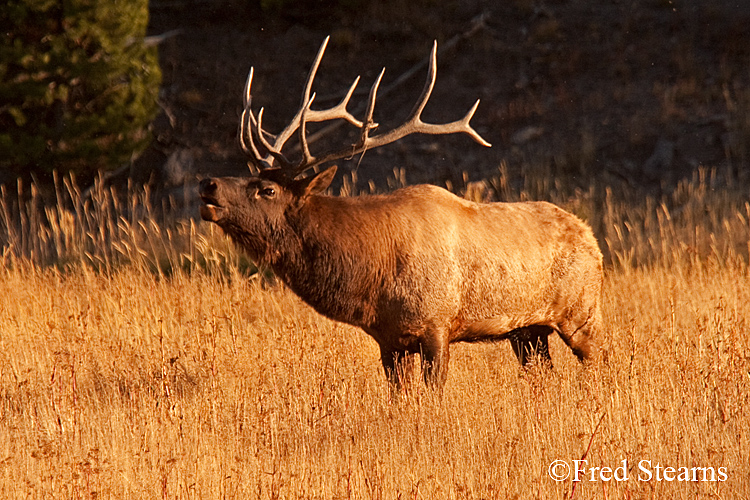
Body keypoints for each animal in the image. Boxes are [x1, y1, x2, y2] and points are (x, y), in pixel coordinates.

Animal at [200, 38, 604, 390]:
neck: (372, 275)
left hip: (582, 311)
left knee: (599, 361)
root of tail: (591, 237)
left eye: (268, 190)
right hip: (527, 330)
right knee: (543, 373)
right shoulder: (389, 340)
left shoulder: (437, 324)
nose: (208, 184)